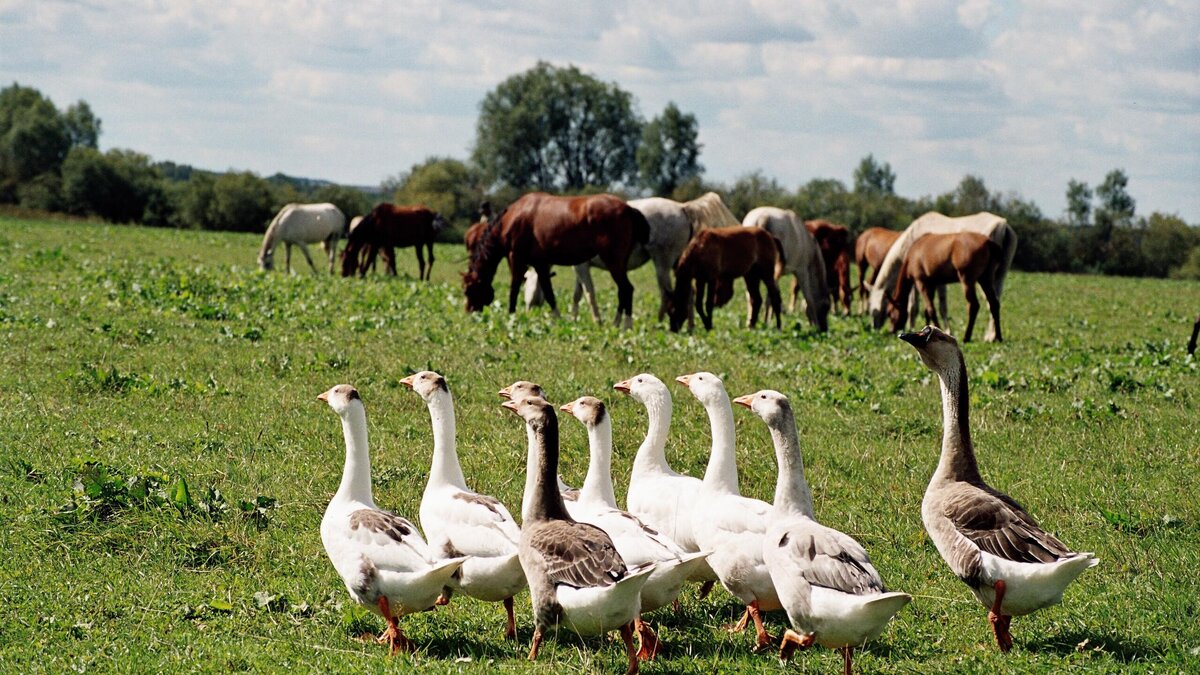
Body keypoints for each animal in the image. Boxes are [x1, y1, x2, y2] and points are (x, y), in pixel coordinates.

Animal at [460, 190, 648, 326]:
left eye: (468, 290)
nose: (469, 311)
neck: (511, 219)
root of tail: (629, 209)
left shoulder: (516, 259)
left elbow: (514, 288)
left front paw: (511, 316)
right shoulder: (541, 264)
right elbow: (549, 293)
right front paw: (558, 320)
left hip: (613, 262)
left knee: (626, 289)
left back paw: (624, 325)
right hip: (620, 263)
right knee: (623, 291)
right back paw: (617, 324)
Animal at [868, 211, 1017, 341]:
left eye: (886, 312)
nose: (886, 330)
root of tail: (1003, 224)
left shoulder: (922, 282)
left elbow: (921, 306)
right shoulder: (934, 282)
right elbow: (931, 307)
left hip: (969, 280)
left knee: (975, 305)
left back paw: (972, 336)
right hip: (991, 278)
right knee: (994, 303)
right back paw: (996, 336)